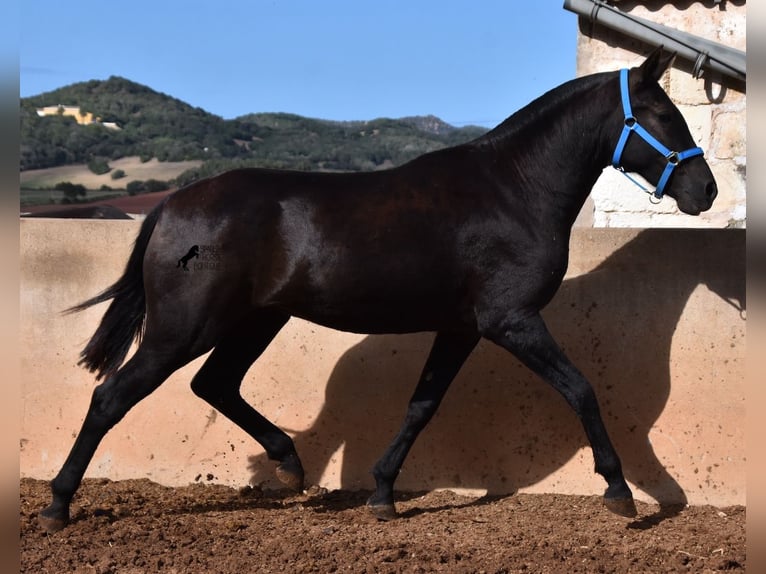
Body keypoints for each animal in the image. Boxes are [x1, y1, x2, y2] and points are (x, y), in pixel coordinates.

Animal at [37, 47, 720, 532]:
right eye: (664, 115)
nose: (706, 190)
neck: (513, 189)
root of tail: (172, 204)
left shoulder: (463, 326)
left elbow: (422, 405)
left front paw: (385, 494)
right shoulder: (512, 321)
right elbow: (580, 389)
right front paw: (620, 492)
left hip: (257, 320)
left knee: (215, 384)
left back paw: (290, 465)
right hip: (184, 328)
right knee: (112, 397)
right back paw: (58, 506)